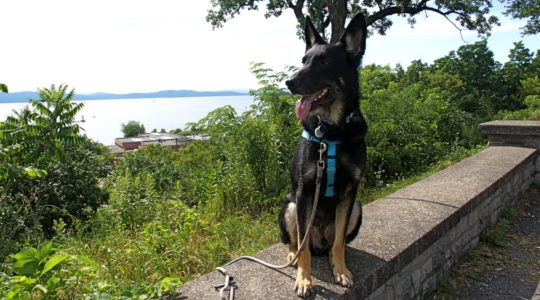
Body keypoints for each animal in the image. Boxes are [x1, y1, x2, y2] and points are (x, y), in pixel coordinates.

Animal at [278, 12, 368, 296]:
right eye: (304, 60)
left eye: (324, 62)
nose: (289, 82)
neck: (331, 130)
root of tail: (319, 242)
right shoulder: (304, 193)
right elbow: (302, 249)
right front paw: (304, 279)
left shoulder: (350, 194)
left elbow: (339, 243)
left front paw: (340, 271)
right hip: (289, 206)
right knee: (298, 243)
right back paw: (293, 258)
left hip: (357, 208)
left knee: (333, 243)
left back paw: (330, 257)